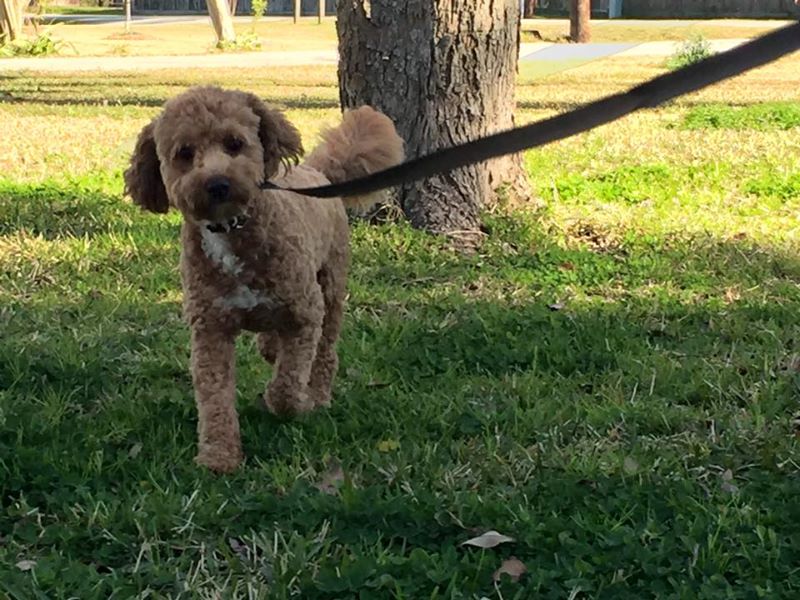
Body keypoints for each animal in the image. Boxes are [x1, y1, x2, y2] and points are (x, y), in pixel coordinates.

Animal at [126, 85, 406, 474]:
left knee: (325, 353)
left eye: (234, 143)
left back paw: (318, 394)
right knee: (274, 341)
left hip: (331, 288)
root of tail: (317, 171)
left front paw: (294, 402)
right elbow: (214, 397)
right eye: (184, 153)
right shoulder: (210, 329)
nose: (217, 184)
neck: (232, 230)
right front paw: (219, 455)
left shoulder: (305, 313)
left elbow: (288, 384)